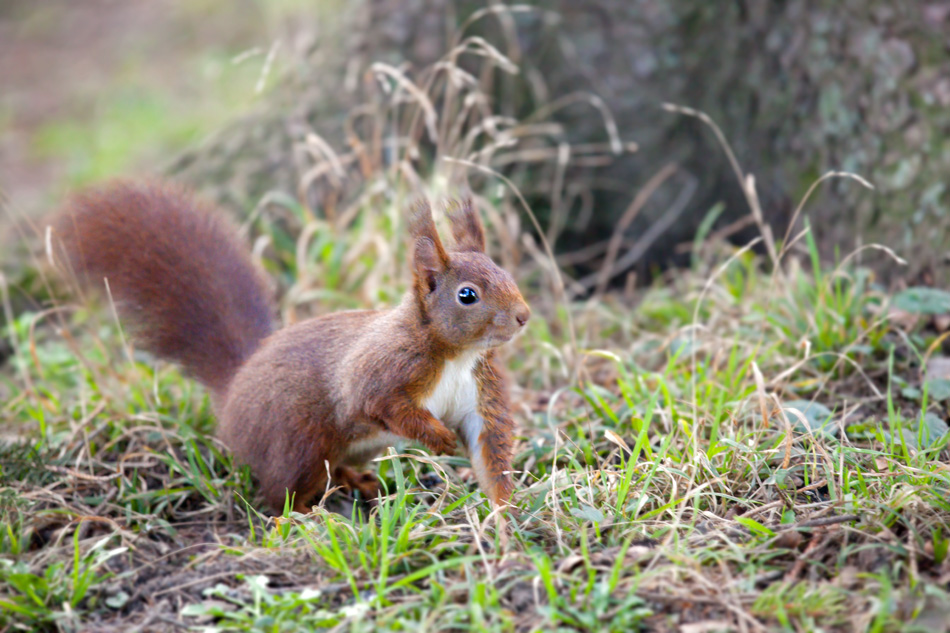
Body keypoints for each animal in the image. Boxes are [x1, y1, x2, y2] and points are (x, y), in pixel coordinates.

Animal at [55, 181, 532, 512]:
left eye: (506, 273)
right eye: (467, 295)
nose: (524, 315)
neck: (457, 354)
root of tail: (236, 387)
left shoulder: (479, 392)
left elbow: (489, 448)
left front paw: (505, 515)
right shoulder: (382, 369)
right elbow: (383, 404)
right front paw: (438, 438)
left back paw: (355, 480)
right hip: (300, 441)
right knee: (277, 496)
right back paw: (307, 516)